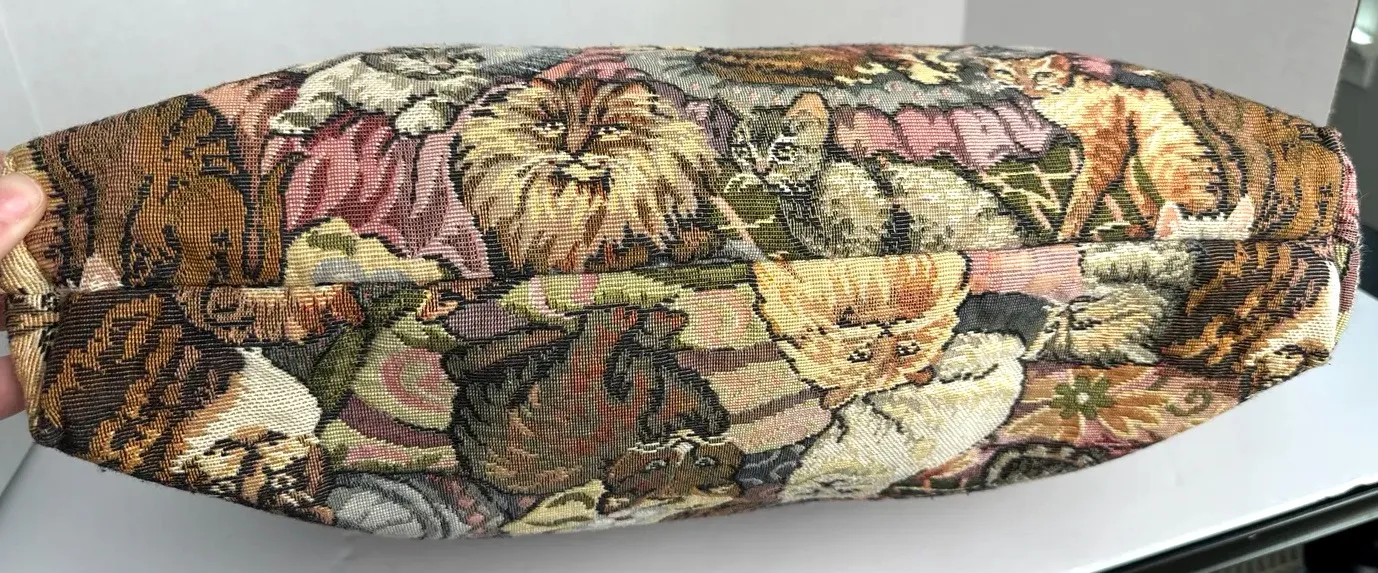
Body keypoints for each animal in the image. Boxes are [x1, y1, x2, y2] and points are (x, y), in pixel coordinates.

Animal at [981, 54, 1225, 241]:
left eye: (1042, 75)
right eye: (1005, 73)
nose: (1024, 86)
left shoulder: (1106, 147)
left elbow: (1081, 195)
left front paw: (1066, 233)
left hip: (1168, 170)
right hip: (1136, 176)